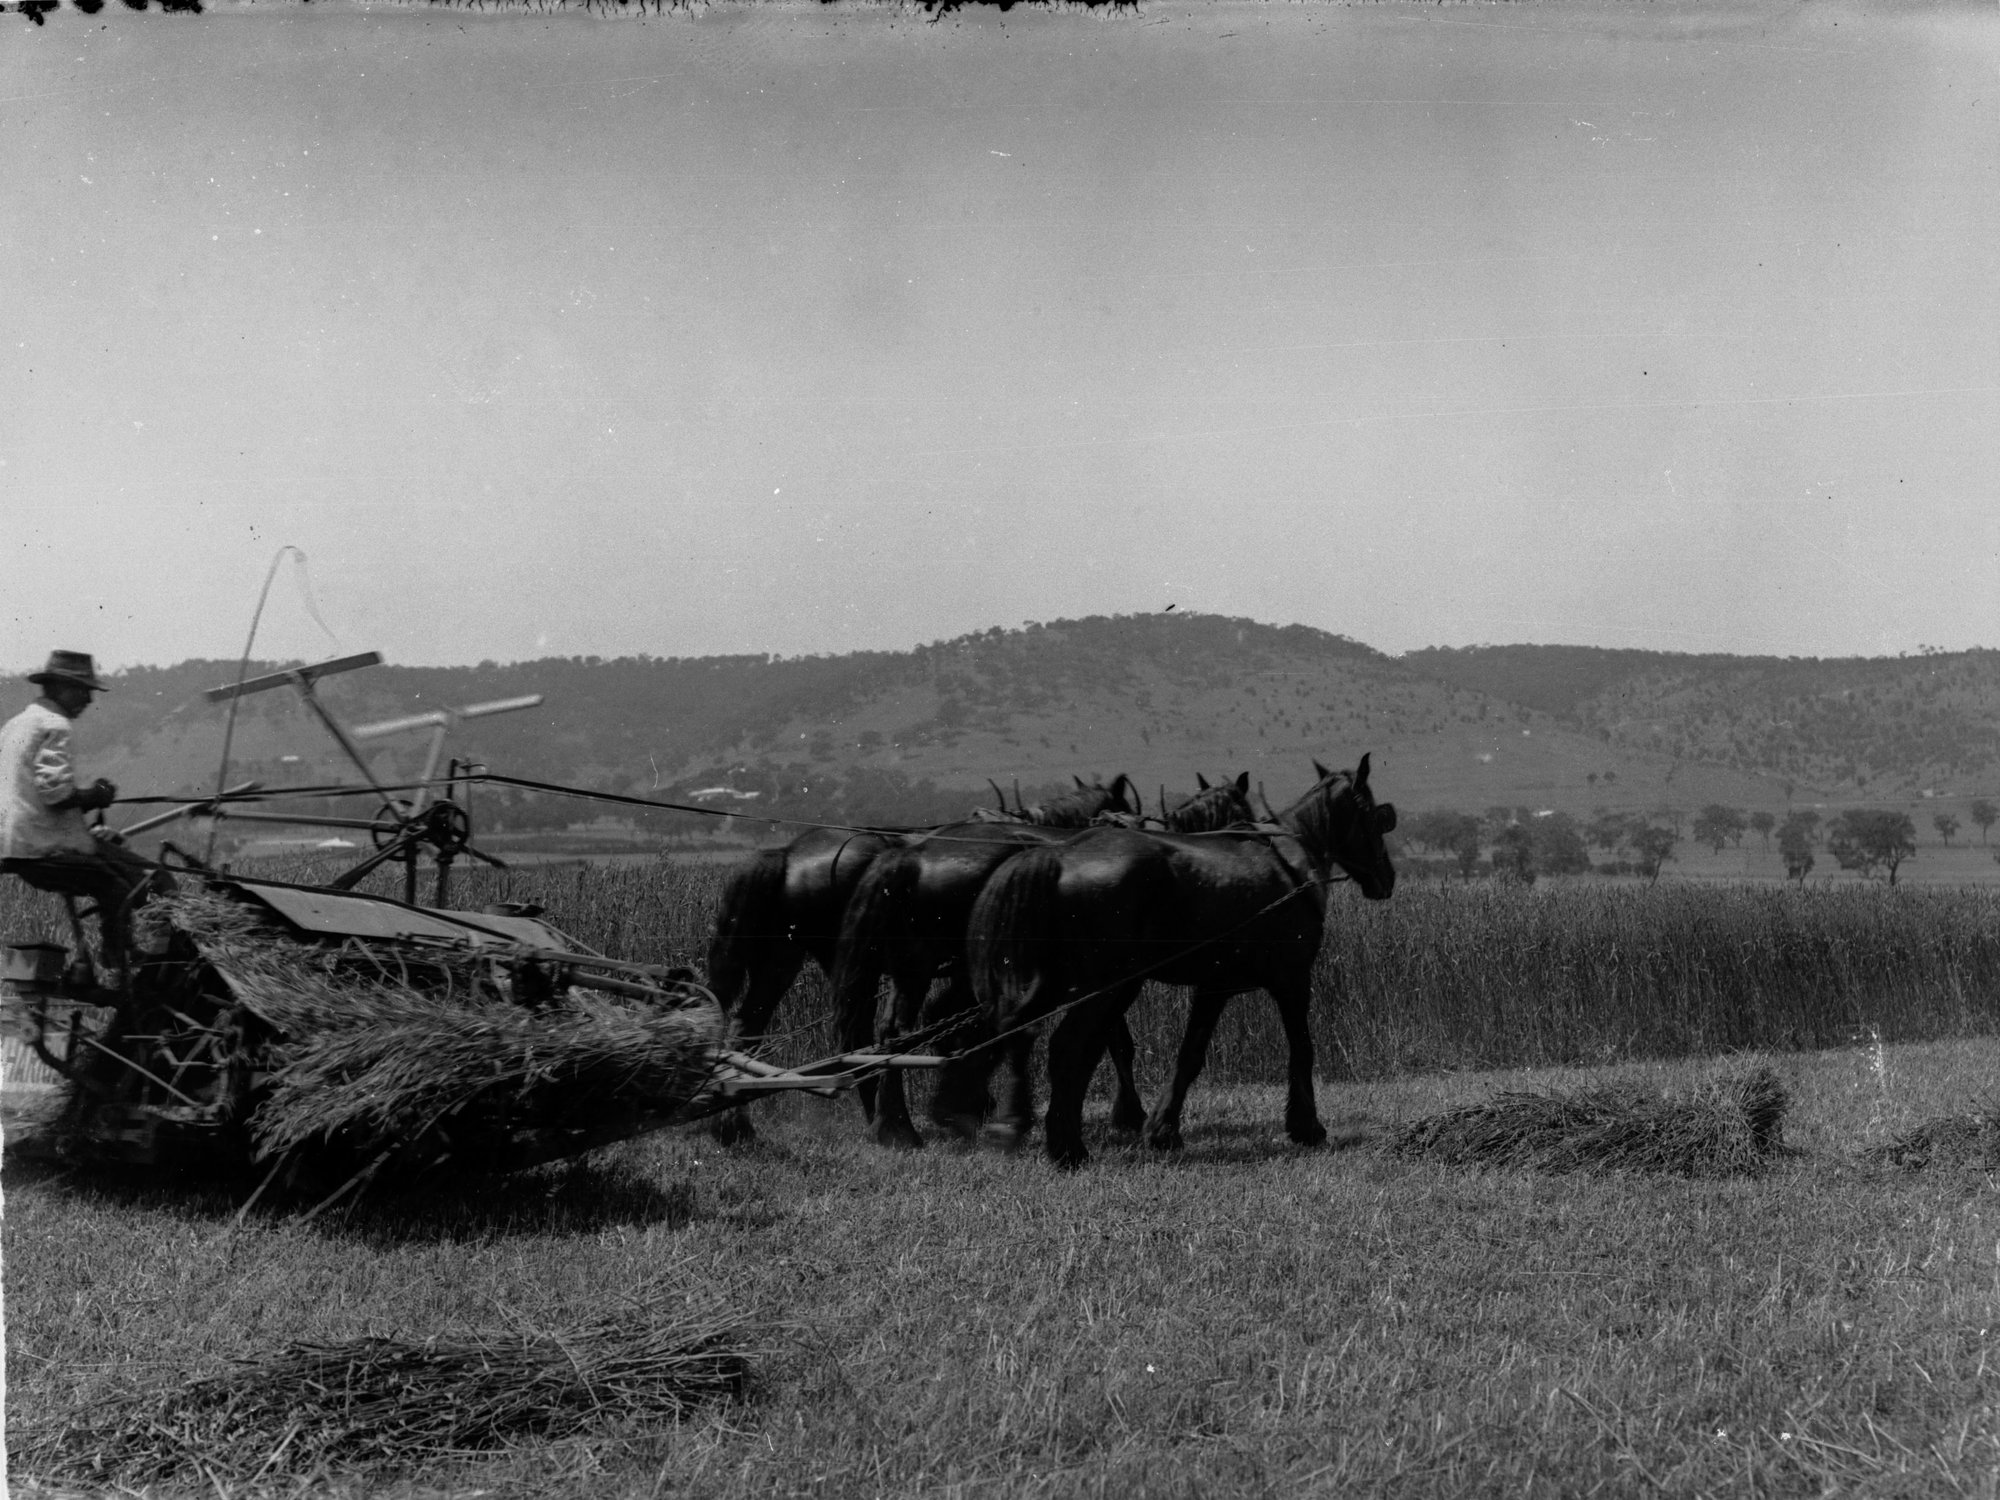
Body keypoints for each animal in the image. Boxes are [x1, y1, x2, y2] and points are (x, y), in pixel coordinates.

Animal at [831, 772, 1257, 1149]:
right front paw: (1129, 1115)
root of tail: (912, 855)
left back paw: (901, 1125)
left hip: (915, 970)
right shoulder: (1112, 977)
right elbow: (1114, 1042)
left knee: (896, 1032)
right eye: (1243, 806)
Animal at [946, 755, 1395, 1168]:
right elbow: (1302, 1047)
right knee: (1066, 1048)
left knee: (1020, 1034)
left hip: (1058, 982)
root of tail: (1056, 856)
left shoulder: (1216, 987)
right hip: (1099, 987)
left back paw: (1009, 1123)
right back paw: (1065, 1147)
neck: (1290, 863)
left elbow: (1190, 1055)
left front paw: (1163, 1130)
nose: (1387, 878)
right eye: (1374, 814)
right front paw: (1307, 1126)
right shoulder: (1293, 979)